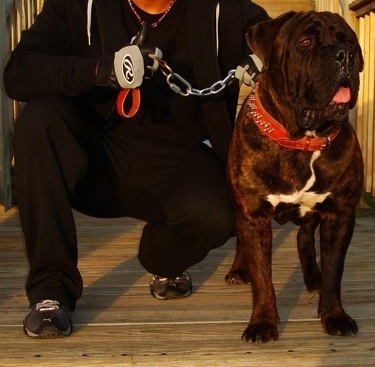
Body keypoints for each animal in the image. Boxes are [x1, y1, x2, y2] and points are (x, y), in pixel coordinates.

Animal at [226, 12, 364, 344]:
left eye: (349, 41)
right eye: (305, 42)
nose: (345, 55)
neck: (303, 141)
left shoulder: (339, 215)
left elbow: (334, 271)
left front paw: (334, 315)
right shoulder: (253, 215)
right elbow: (262, 277)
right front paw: (263, 322)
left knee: (304, 236)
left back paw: (312, 275)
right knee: (241, 241)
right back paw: (239, 269)